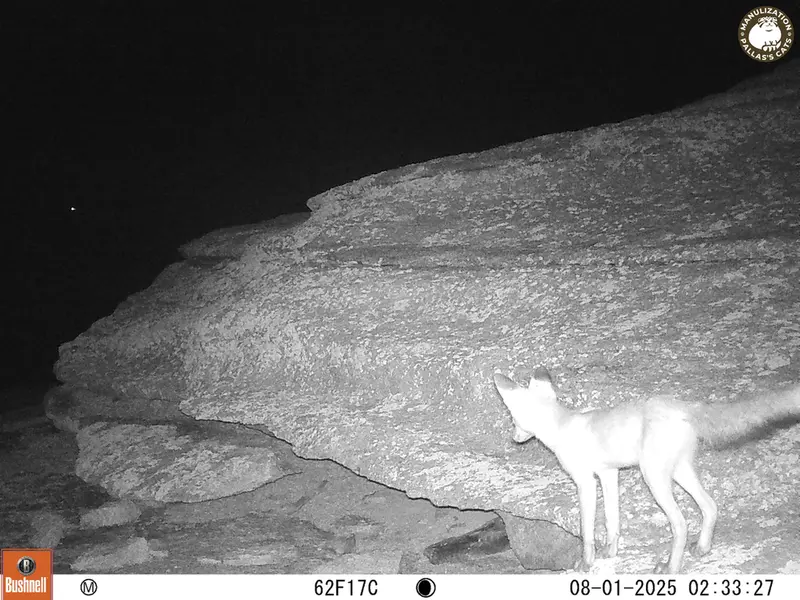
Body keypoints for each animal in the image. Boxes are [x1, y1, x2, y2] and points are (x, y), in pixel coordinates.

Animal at [492, 368, 800, 574]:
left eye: (512, 419)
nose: (514, 438)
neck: (563, 426)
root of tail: (682, 405)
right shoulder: (609, 473)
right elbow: (612, 521)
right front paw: (610, 552)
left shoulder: (584, 481)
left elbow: (586, 530)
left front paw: (586, 563)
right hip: (679, 471)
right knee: (710, 506)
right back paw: (702, 549)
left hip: (653, 477)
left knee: (681, 523)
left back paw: (671, 568)